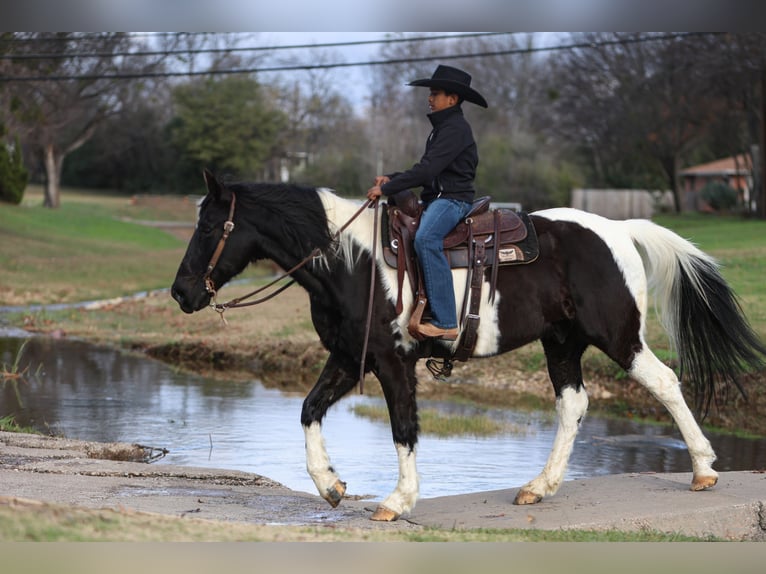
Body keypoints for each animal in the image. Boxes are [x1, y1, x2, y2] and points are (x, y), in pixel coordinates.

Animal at [171, 170, 764, 520]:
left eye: (209, 227)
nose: (180, 292)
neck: (352, 262)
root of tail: (618, 229)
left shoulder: (391, 362)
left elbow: (403, 428)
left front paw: (397, 500)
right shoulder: (347, 356)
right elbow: (308, 409)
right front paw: (331, 486)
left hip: (618, 337)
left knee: (663, 382)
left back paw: (704, 470)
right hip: (562, 342)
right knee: (573, 404)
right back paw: (539, 487)